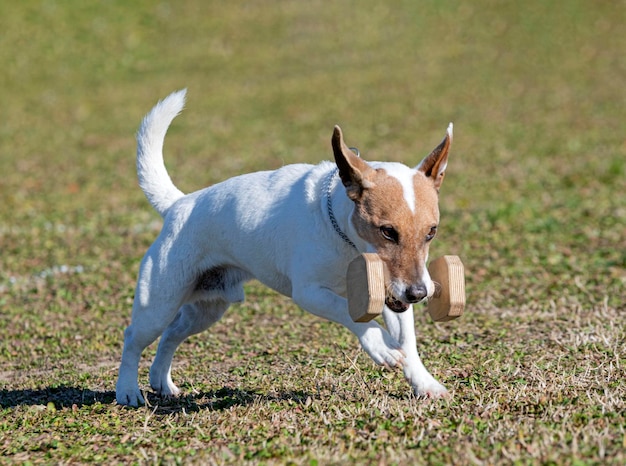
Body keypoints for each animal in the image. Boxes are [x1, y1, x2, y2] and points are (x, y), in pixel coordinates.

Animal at [114, 89, 450, 406]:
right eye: (387, 232)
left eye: (431, 232)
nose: (418, 294)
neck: (347, 242)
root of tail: (178, 204)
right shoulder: (310, 292)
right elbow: (349, 312)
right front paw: (380, 346)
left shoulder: (391, 293)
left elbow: (407, 340)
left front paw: (425, 383)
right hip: (158, 303)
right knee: (134, 339)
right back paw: (128, 390)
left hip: (207, 309)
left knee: (171, 334)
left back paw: (161, 381)